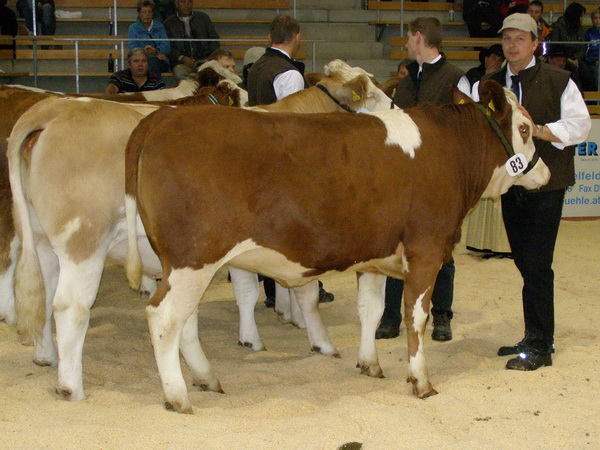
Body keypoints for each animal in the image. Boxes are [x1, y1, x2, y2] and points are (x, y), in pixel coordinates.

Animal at [124, 80, 552, 412]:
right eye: (525, 129)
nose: (546, 174)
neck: (448, 151)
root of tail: (163, 117)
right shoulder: (426, 251)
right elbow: (416, 318)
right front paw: (421, 381)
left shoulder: (375, 257)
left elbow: (371, 311)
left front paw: (370, 364)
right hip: (194, 258)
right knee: (164, 318)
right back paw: (178, 397)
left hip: (187, 264)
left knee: (185, 320)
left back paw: (207, 378)